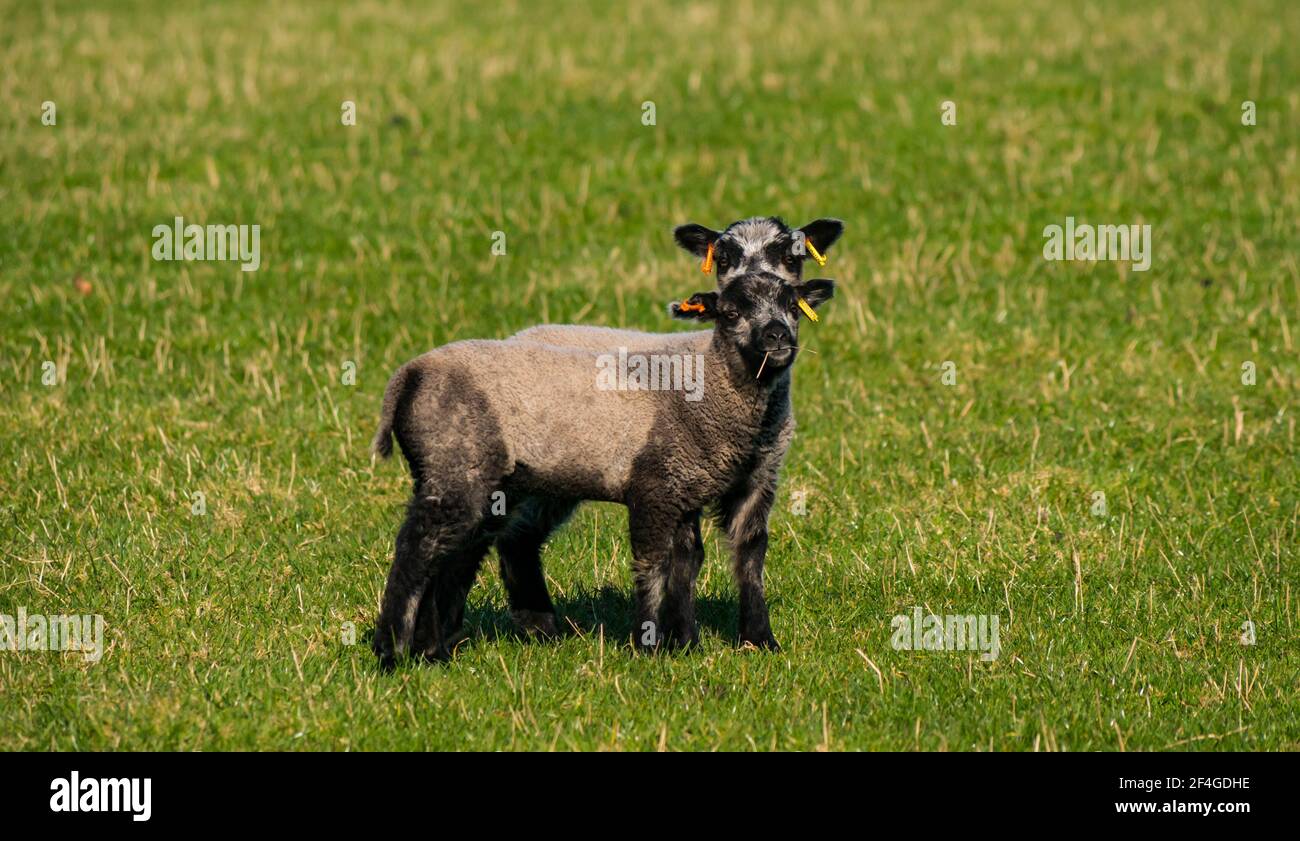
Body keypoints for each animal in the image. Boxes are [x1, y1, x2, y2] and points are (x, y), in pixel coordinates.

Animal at [371, 271, 835, 667]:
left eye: (793, 308)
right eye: (732, 313)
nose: (777, 336)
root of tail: (408, 376)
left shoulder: (719, 483)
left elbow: (729, 559)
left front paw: (744, 640)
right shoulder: (655, 488)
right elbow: (654, 564)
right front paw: (650, 644)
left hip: (506, 479)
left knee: (469, 551)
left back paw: (447, 646)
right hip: (456, 465)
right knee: (418, 550)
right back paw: (393, 650)